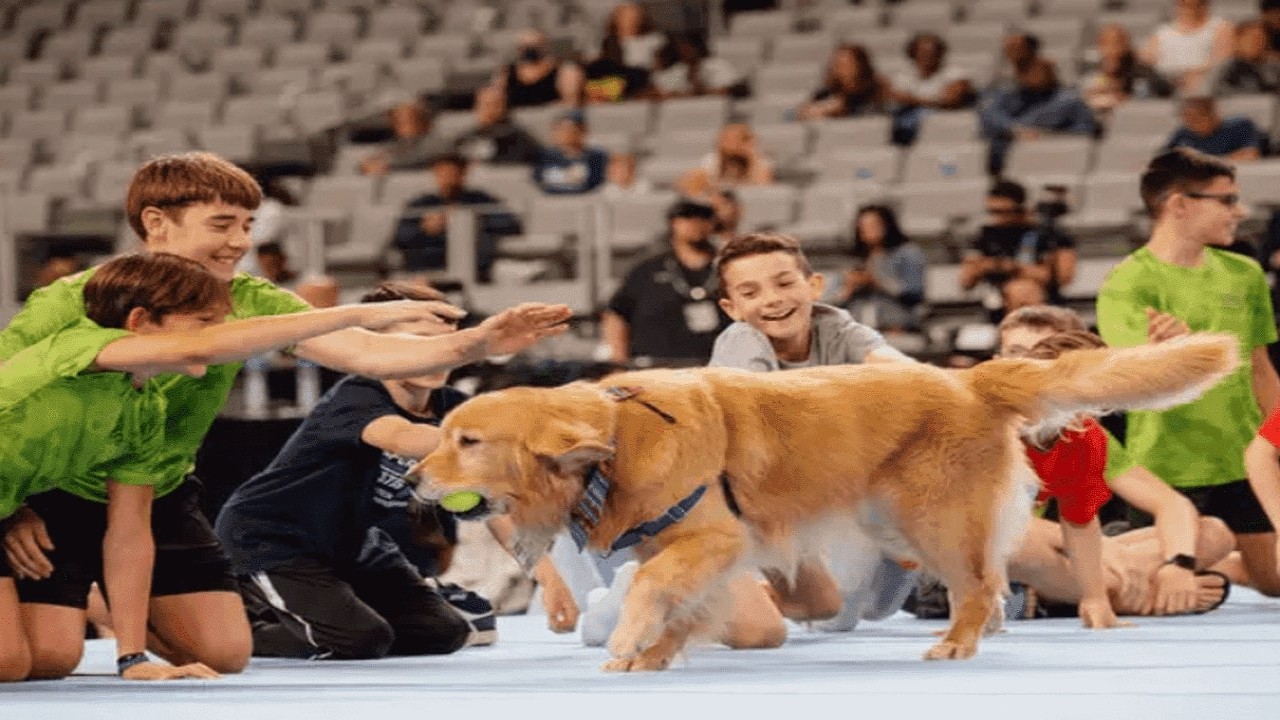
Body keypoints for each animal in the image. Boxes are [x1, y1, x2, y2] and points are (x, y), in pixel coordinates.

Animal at [412, 333, 1239, 671]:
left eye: (467, 440)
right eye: (446, 434)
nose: (413, 477)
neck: (616, 441)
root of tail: (967, 378)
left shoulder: (709, 542)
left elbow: (650, 592)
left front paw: (630, 643)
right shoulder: (697, 555)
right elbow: (679, 605)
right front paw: (653, 657)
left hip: (932, 520)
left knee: (979, 586)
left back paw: (956, 643)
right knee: (989, 584)